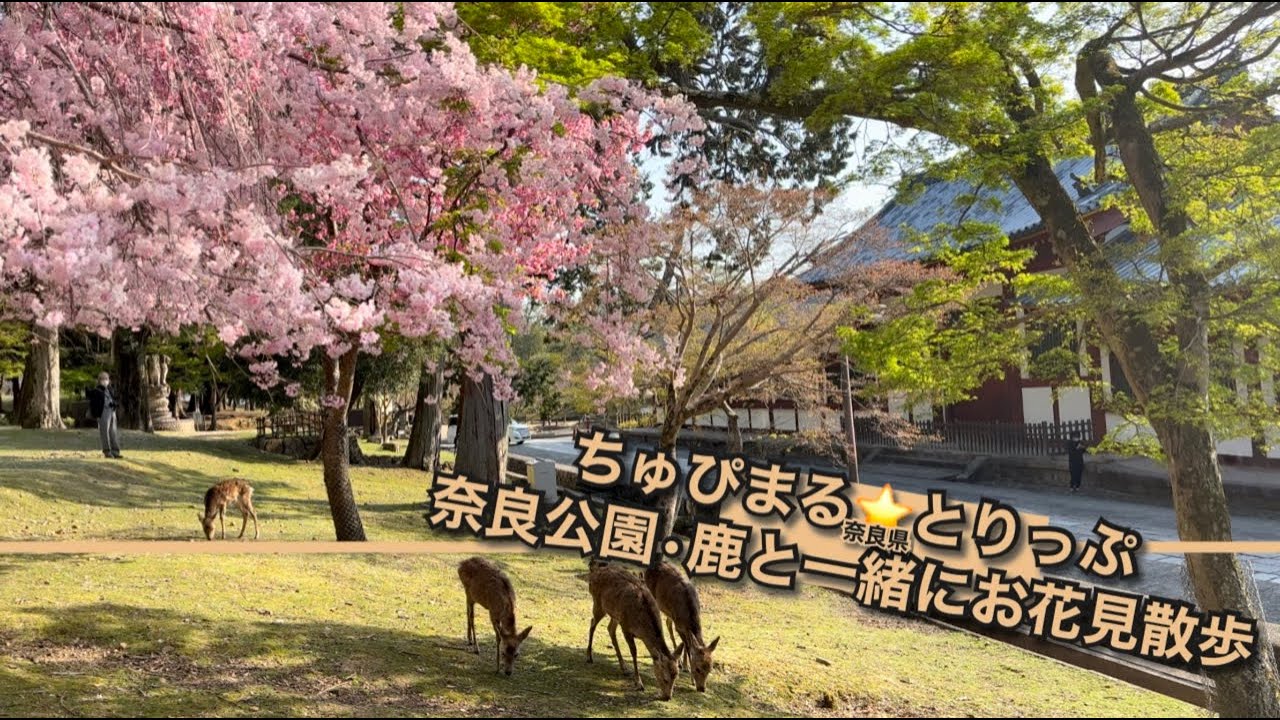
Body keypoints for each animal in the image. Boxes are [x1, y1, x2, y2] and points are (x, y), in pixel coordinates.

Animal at [587, 560, 684, 700]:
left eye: (676, 677)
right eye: (665, 678)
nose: (667, 697)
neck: (642, 626)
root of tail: (594, 572)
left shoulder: (623, 621)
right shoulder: (626, 627)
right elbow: (634, 653)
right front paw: (639, 683)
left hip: (615, 614)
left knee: (610, 628)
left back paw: (624, 667)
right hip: (598, 604)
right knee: (592, 623)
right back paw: (589, 656)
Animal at [645, 561, 720, 692]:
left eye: (710, 668)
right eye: (697, 668)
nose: (702, 688)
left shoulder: (683, 626)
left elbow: (687, 644)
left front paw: (684, 665)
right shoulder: (679, 625)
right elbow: (688, 646)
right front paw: (690, 676)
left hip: (669, 612)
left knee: (668, 623)